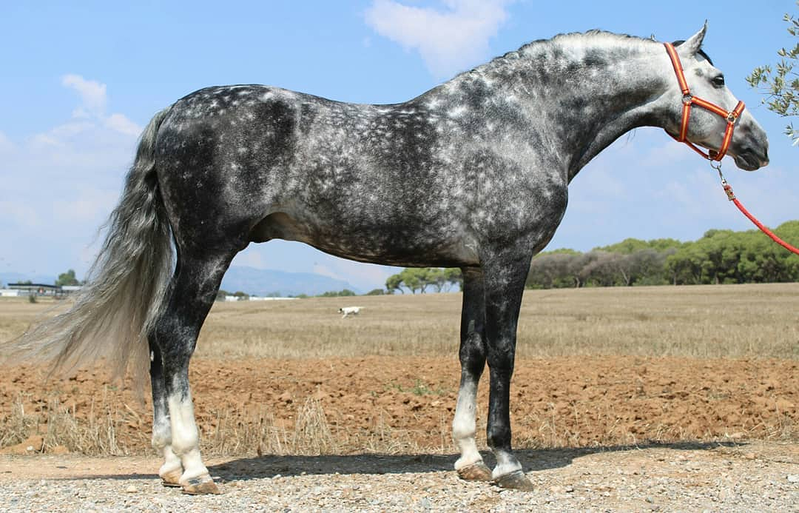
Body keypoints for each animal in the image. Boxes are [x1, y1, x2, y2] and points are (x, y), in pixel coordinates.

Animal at [10, 24, 768, 494]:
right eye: (717, 76)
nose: (757, 145)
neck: (524, 122)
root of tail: (170, 113)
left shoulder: (472, 269)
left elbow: (469, 353)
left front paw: (467, 458)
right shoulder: (509, 261)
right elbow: (505, 353)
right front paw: (506, 463)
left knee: (156, 340)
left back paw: (168, 464)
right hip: (208, 252)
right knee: (174, 338)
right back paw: (195, 468)